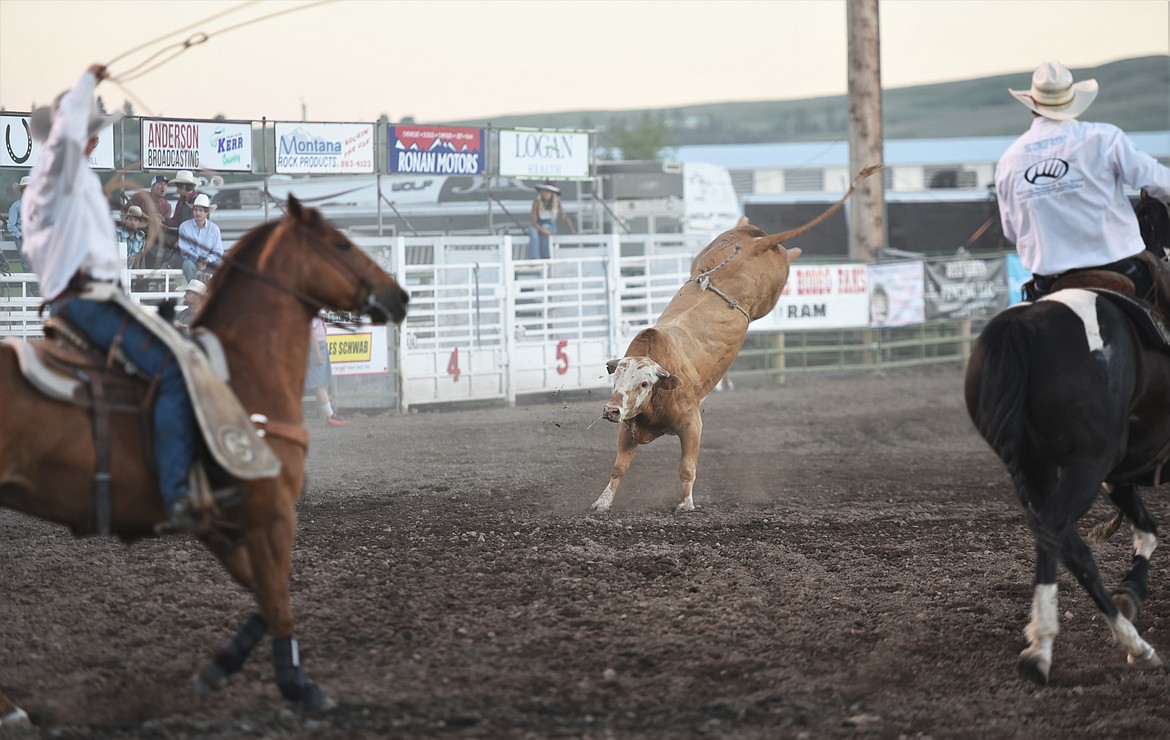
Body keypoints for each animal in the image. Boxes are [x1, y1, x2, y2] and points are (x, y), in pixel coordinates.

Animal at [0, 196, 411, 721]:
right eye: (340, 243)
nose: (399, 296)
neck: (246, 370)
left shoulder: (222, 527)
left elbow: (267, 594)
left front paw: (219, 669)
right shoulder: (273, 516)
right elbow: (279, 598)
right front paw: (298, 685)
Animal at [594, 166, 879, 515]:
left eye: (644, 383)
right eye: (616, 377)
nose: (611, 410)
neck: (659, 390)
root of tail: (754, 246)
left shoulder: (692, 425)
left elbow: (686, 467)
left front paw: (686, 504)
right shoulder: (627, 427)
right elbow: (618, 467)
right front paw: (602, 502)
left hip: (773, 286)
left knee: (787, 256)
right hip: (718, 252)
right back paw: (745, 222)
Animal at [964, 201, 1170, 683]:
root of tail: (1023, 325)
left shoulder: (1119, 475)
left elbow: (1146, 529)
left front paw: (1132, 592)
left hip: (1040, 467)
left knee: (1069, 545)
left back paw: (1132, 642)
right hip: (1086, 464)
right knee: (1055, 532)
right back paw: (1041, 649)